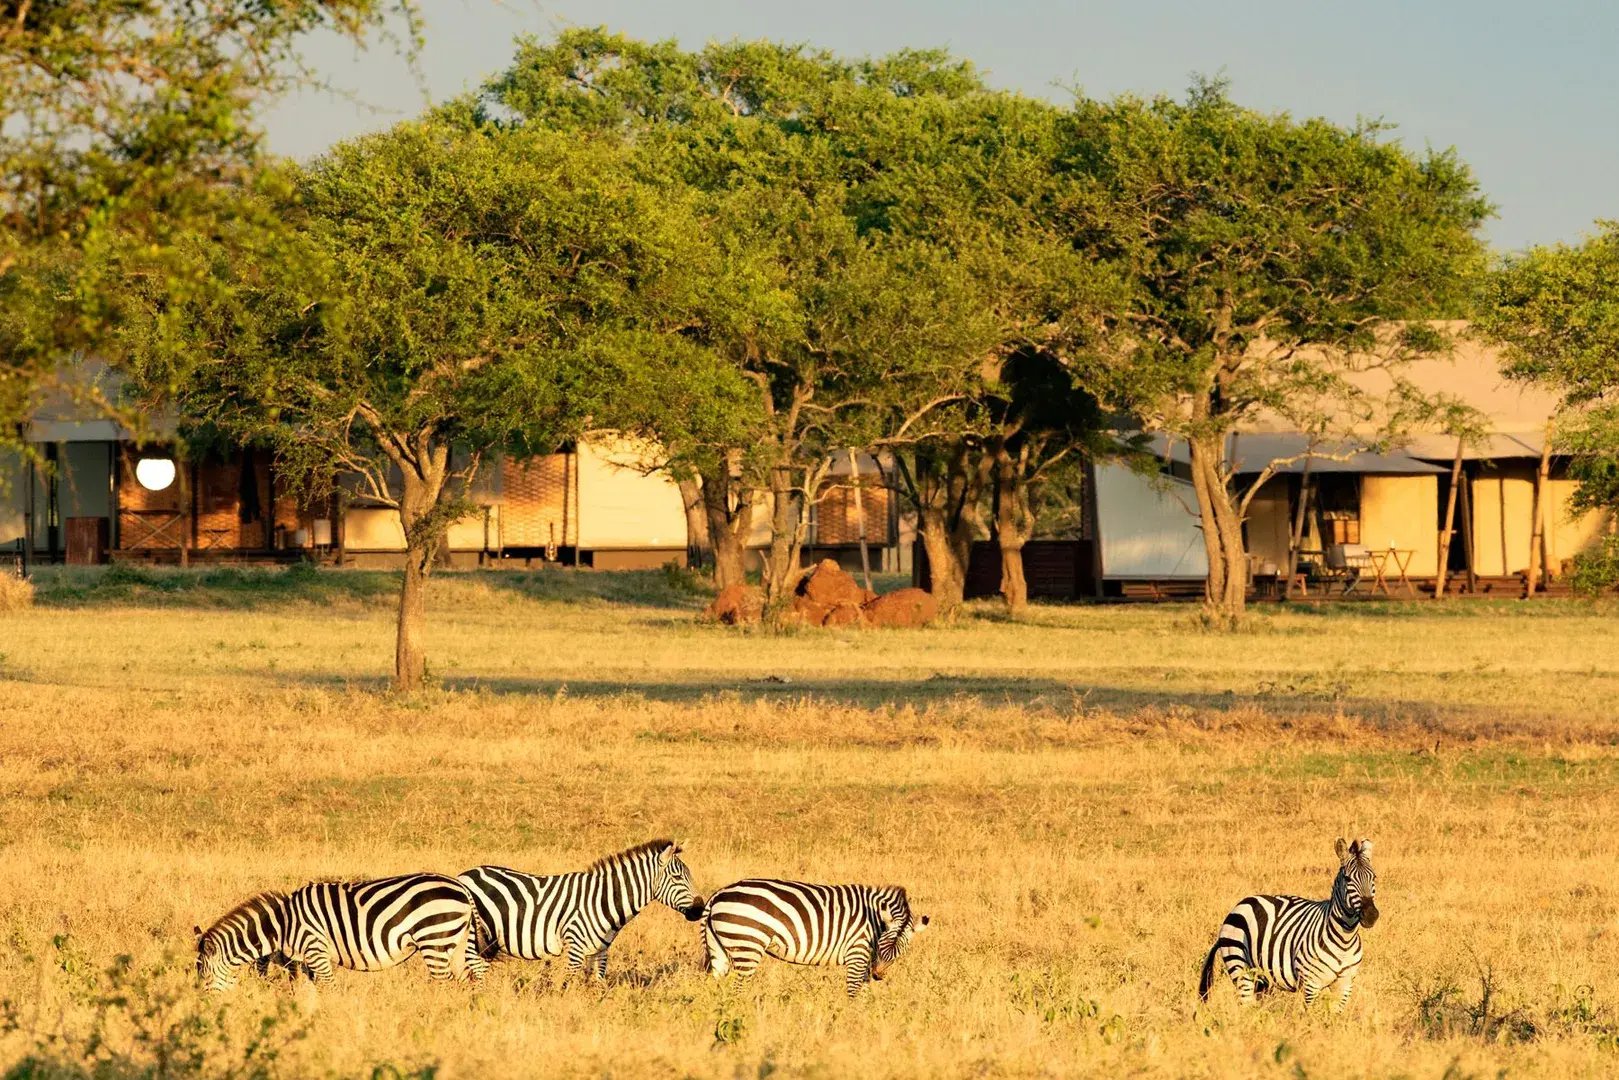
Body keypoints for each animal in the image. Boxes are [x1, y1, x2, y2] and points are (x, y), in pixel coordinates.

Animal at [193, 874, 472, 990]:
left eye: (204, 978)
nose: (204, 1005)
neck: (282, 924)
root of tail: (461, 888)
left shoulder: (315, 950)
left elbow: (330, 988)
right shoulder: (304, 960)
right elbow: (309, 989)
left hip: (434, 939)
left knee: (443, 984)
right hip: (455, 943)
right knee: (466, 981)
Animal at [459, 841, 705, 984]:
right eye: (677, 877)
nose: (700, 909)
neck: (604, 899)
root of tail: (466, 874)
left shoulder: (601, 950)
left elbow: (597, 984)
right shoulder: (575, 946)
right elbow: (566, 984)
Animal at [702, 880, 932, 997]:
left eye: (900, 952)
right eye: (882, 944)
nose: (879, 975)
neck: (873, 920)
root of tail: (718, 895)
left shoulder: (866, 960)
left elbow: (865, 995)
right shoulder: (857, 953)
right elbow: (854, 992)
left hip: (720, 948)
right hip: (747, 945)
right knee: (738, 989)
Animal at [1204, 841, 1379, 1010]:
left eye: (1374, 877)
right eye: (1348, 879)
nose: (1371, 915)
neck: (1345, 939)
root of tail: (1242, 903)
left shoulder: (1345, 985)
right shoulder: (1310, 985)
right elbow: (1311, 1016)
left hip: (1261, 978)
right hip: (1239, 967)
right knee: (1245, 1006)